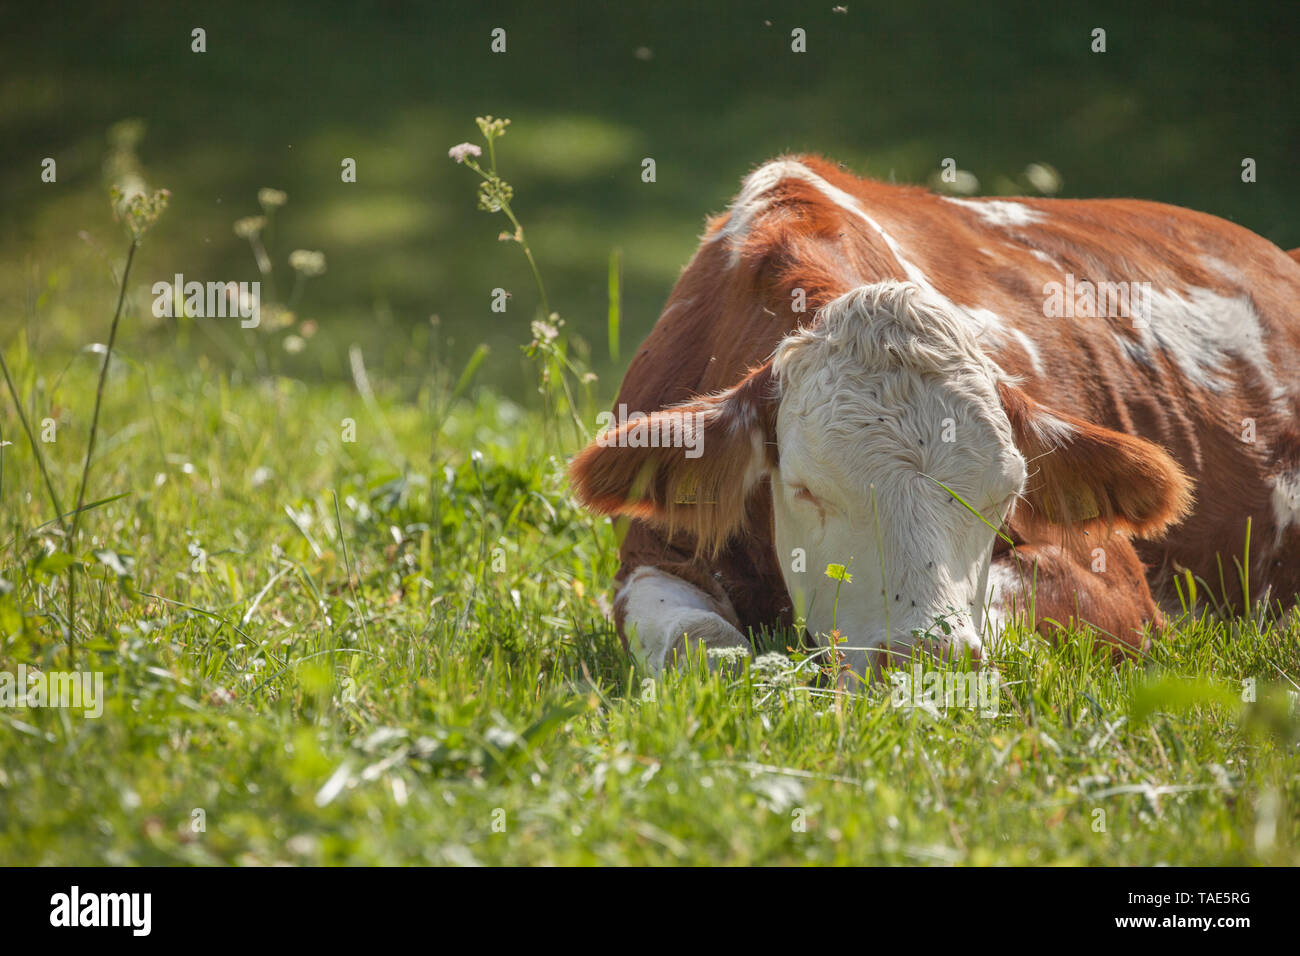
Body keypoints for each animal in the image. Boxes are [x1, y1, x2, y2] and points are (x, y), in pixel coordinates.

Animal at [569, 156, 1300, 681]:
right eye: (804, 490)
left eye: (1006, 495)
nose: (924, 660)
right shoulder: (650, 553)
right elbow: (703, 646)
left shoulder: (1115, 581)